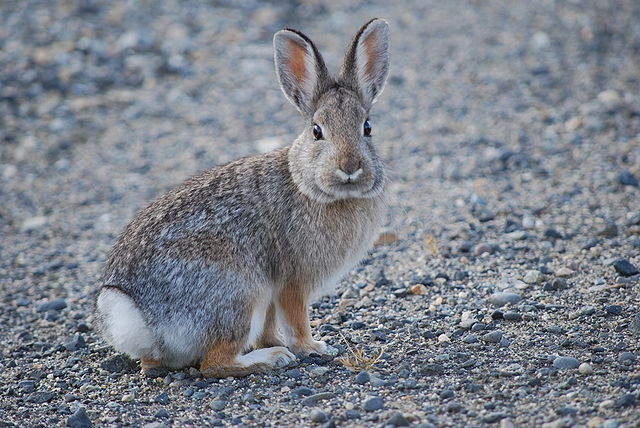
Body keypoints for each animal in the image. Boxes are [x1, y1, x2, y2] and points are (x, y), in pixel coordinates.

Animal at [96, 18, 390, 376]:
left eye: (367, 128)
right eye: (317, 131)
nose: (349, 167)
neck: (312, 186)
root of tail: (139, 316)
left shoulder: (275, 293)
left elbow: (270, 325)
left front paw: (277, 341)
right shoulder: (293, 280)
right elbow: (296, 318)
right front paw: (312, 347)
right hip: (240, 292)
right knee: (215, 363)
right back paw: (270, 359)